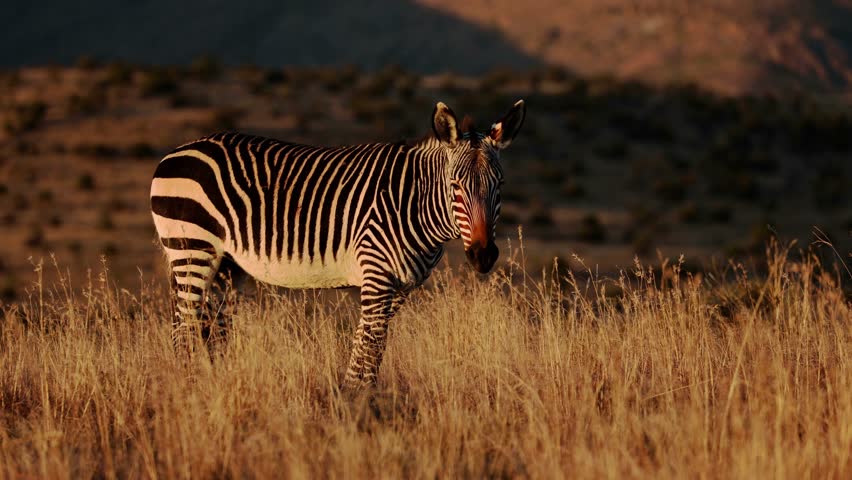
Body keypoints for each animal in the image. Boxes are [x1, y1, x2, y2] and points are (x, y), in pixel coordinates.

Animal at [150, 99, 525, 388]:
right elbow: (371, 344)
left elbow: (367, 345)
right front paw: (357, 410)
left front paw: (356, 399)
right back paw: (190, 388)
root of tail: (176, 152)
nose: (483, 255)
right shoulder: (376, 272)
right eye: (454, 187)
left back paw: (214, 383)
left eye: (500, 185)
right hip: (192, 248)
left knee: (208, 327)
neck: (414, 202)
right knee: (185, 328)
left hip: (225, 265)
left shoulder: (399, 285)